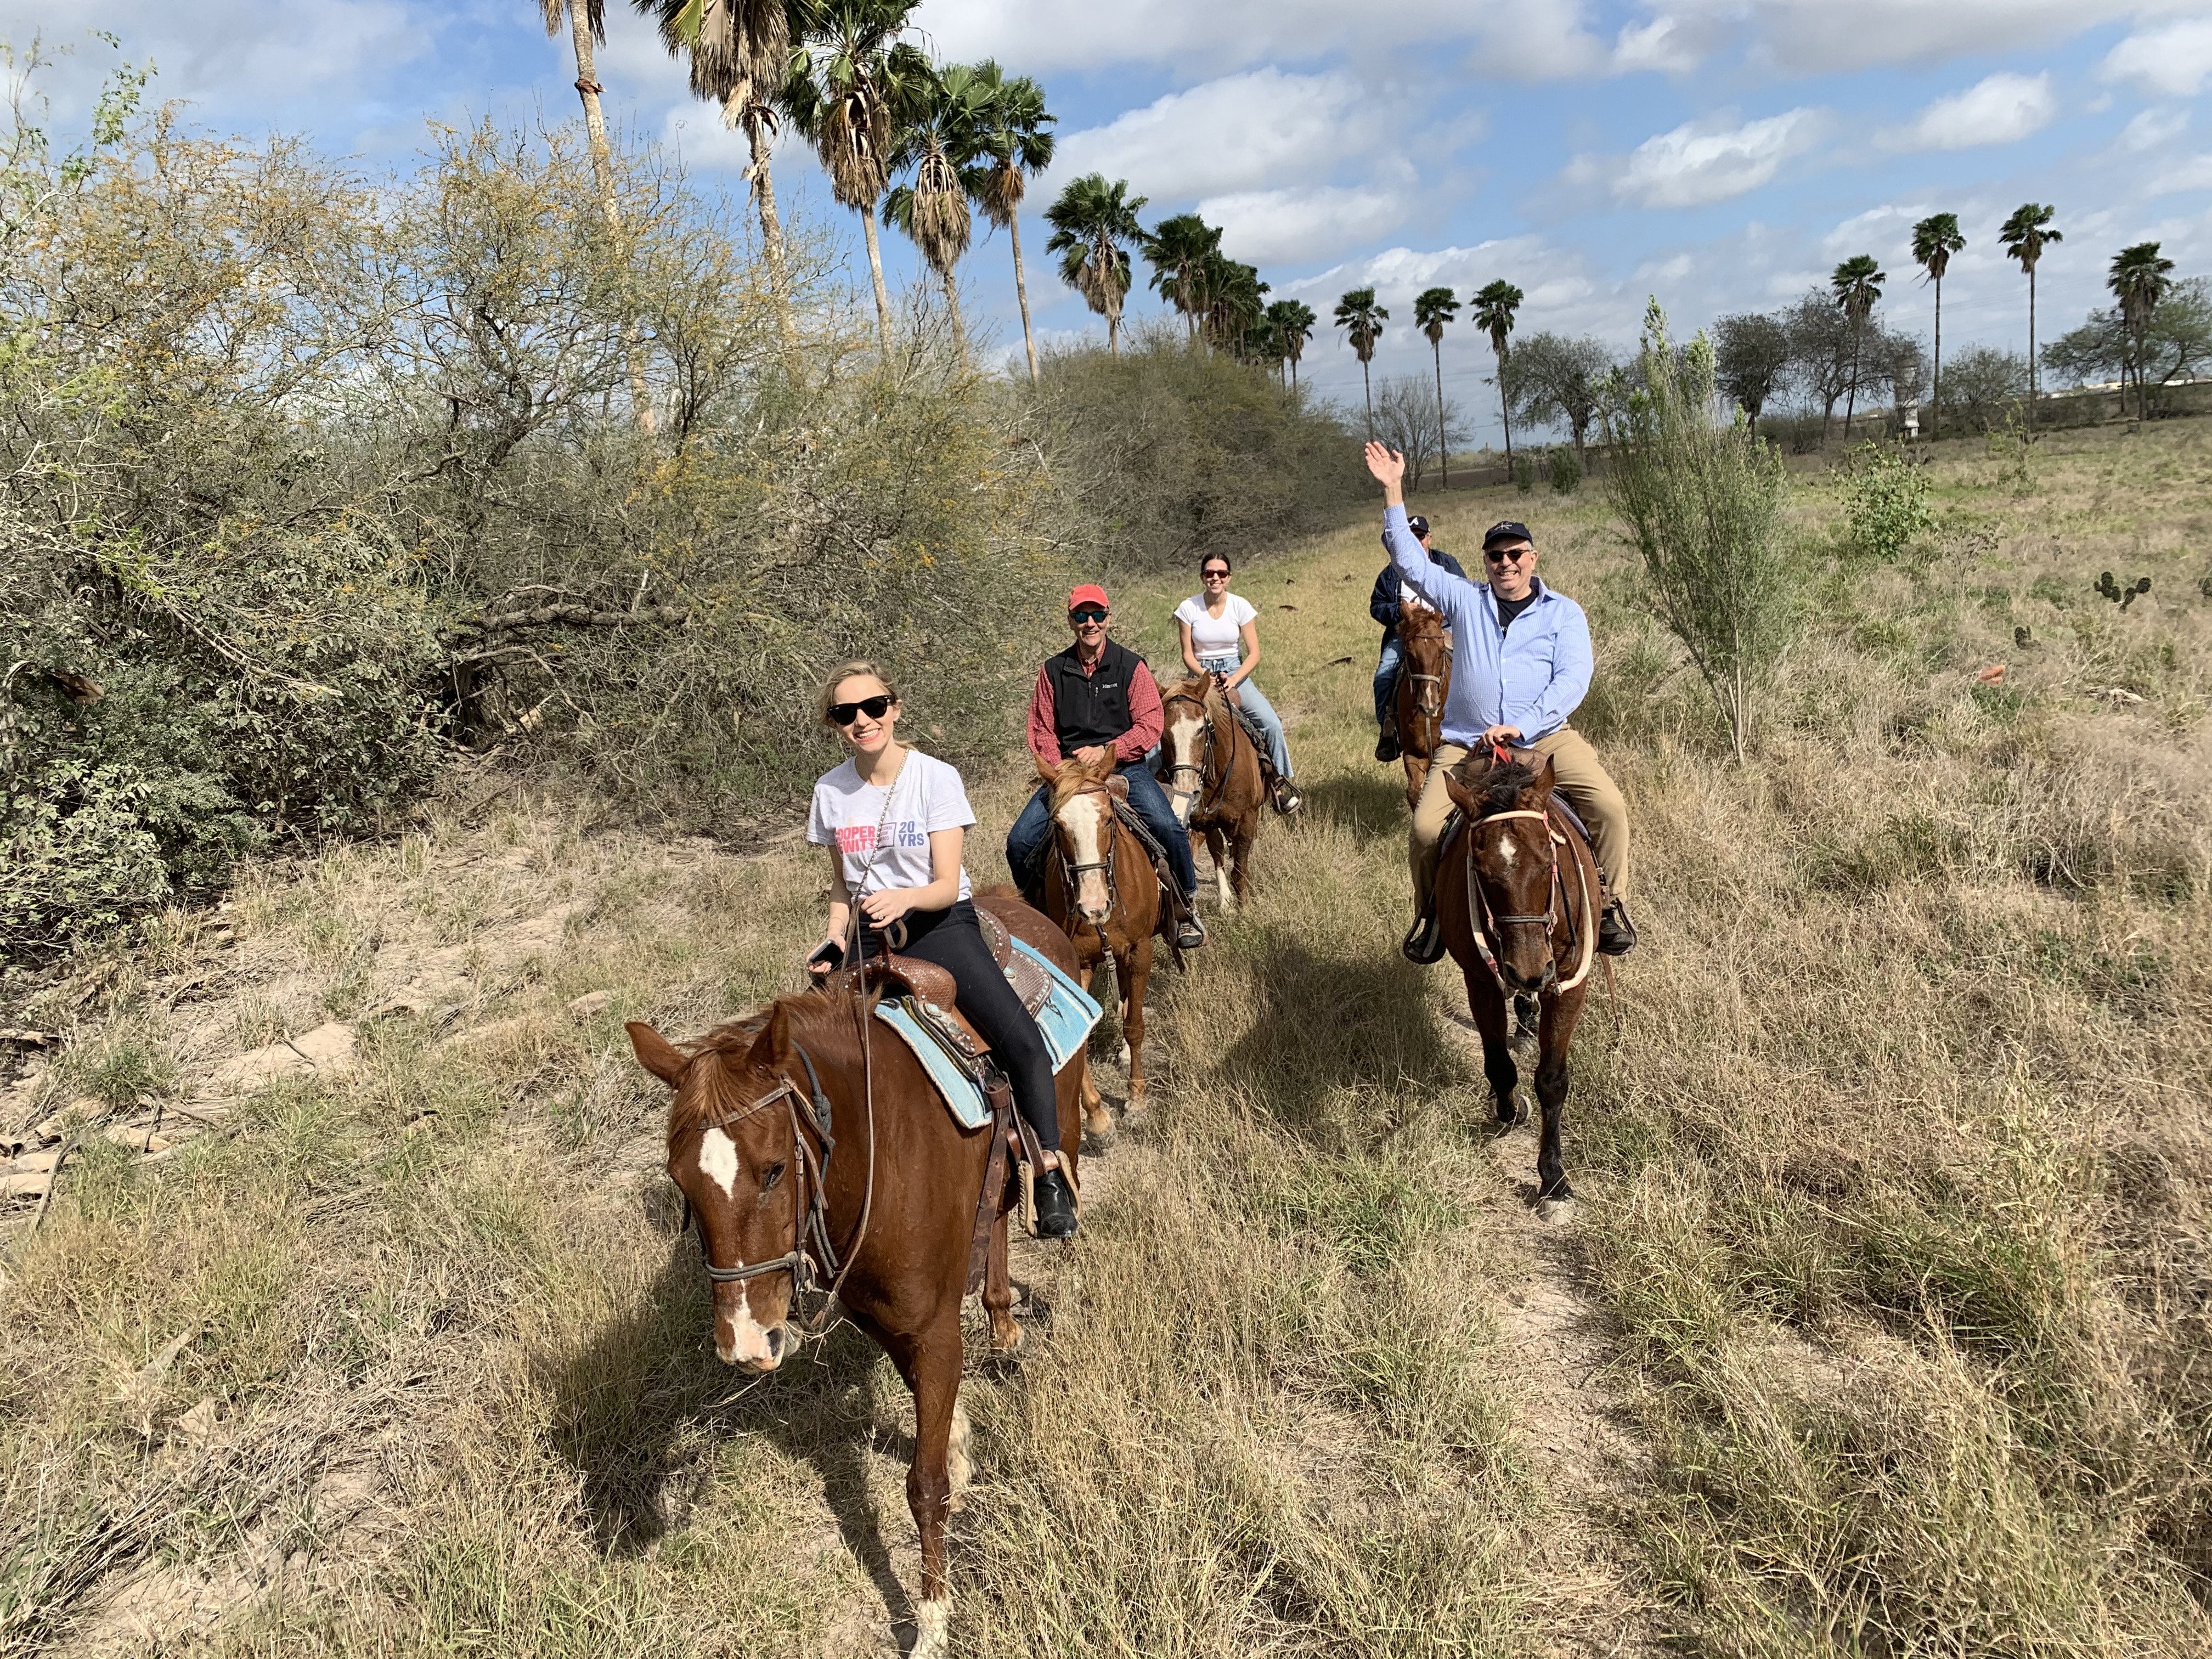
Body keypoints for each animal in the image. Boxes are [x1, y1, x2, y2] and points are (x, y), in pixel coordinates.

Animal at [624, 902, 1088, 1659]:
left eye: (774, 1169)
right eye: (681, 1183)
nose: (745, 1344)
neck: (878, 1150)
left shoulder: (933, 1331)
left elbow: (924, 1485)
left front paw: (932, 1621)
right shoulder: (891, 1324)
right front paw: (961, 1444)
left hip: (1064, 1116)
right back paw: (1000, 1320)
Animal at [1035, 752, 1167, 1119]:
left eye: (1108, 820)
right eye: (1059, 826)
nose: (1093, 907)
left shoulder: (1140, 951)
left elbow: (1135, 1025)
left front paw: (1136, 1099)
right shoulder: (1078, 961)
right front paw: (1096, 1115)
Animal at [1159, 672, 1265, 911]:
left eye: (1201, 729)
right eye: (1163, 733)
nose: (1186, 788)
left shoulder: (1248, 818)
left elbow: (1240, 869)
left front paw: (1246, 909)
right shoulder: (1200, 822)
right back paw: (1224, 900)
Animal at [1433, 752, 1610, 1212]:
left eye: (1549, 860)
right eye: (1479, 869)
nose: (1529, 969)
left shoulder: (1569, 985)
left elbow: (1552, 1080)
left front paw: (1553, 1178)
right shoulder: (1480, 981)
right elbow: (1499, 1065)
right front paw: (1508, 1109)